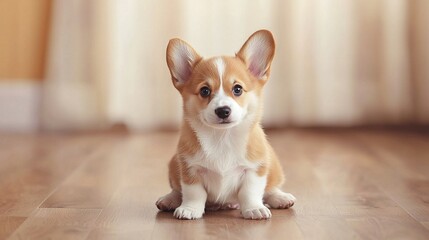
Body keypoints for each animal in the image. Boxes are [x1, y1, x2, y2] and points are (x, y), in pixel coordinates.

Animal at [156, 29, 294, 219]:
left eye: (237, 89)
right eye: (204, 91)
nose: (223, 111)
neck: (223, 137)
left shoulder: (255, 169)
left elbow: (250, 192)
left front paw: (254, 209)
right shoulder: (190, 168)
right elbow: (194, 193)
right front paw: (190, 209)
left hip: (273, 164)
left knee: (270, 188)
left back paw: (280, 198)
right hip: (173, 164)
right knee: (178, 190)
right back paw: (169, 199)